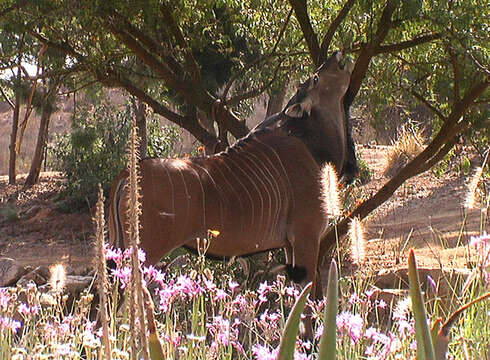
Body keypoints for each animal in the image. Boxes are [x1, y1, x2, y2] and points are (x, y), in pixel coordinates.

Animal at [109, 51, 356, 298]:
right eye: (315, 78)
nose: (337, 55)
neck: (307, 144)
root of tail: (129, 173)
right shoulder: (306, 238)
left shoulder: (290, 246)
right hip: (145, 251)